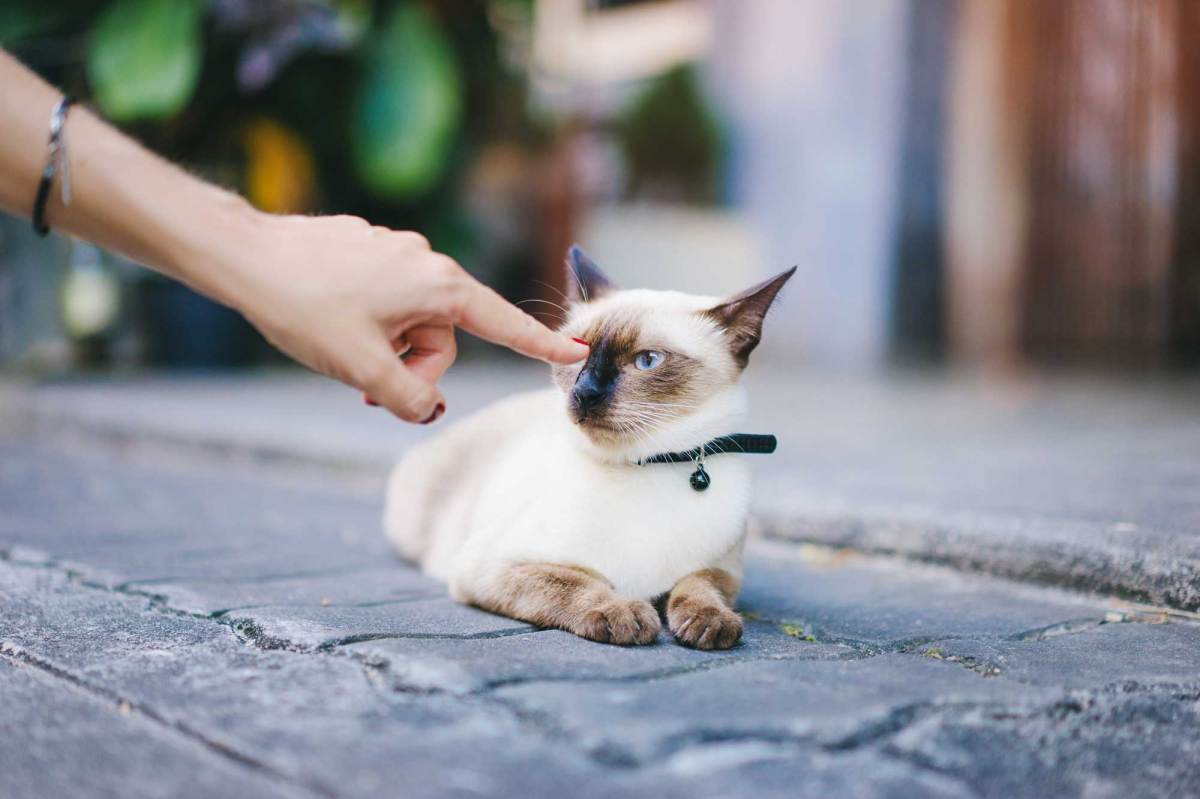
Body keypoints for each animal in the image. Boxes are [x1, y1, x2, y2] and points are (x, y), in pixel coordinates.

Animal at [384, 244, 792, 647]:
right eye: (577, 352)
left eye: (648, 361)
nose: (585, 393)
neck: (648, 466)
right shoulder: (494, 566)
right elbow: (578, 583)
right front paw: (623, 614)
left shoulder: (722, 571)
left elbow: (700, 587)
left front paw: (711, 624)